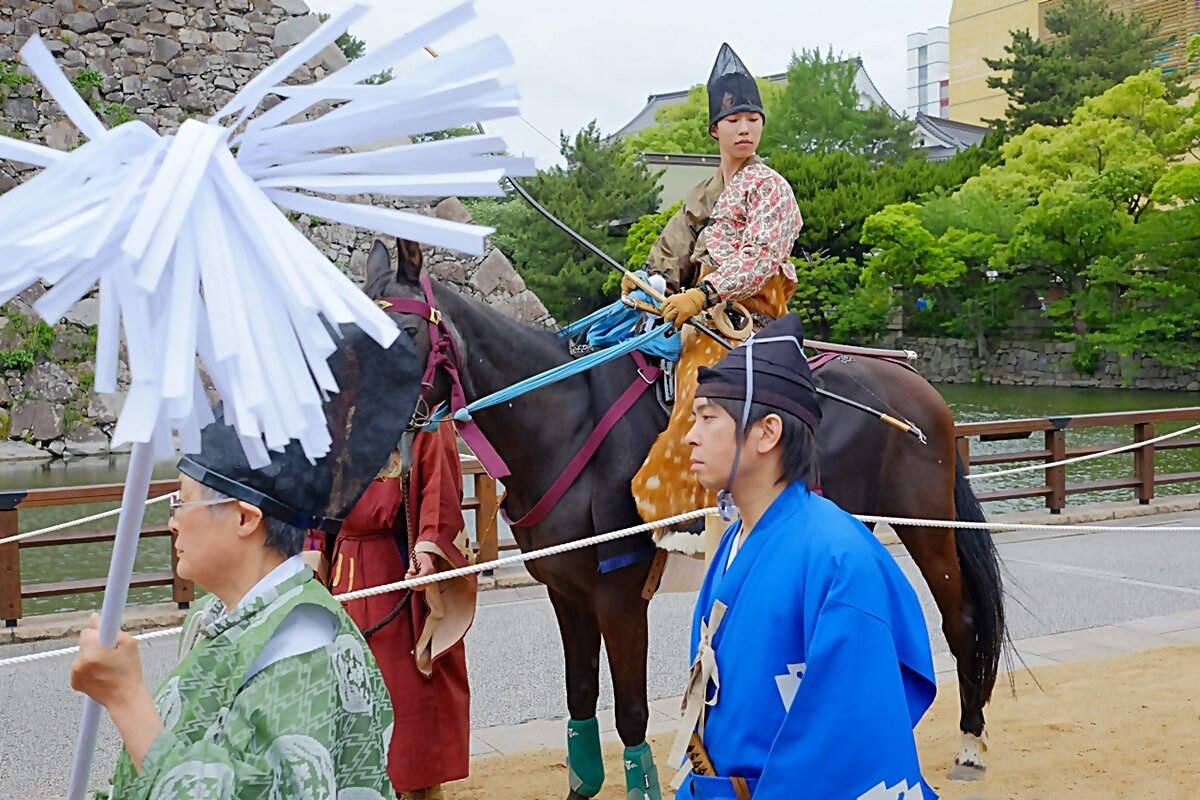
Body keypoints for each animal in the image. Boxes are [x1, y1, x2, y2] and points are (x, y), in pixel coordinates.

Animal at [369, 237, 1008, 796]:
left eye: (406, 333)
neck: (564, 423)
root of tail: (921, 388)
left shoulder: (619, 595)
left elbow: (630, 714)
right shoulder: (566, 591)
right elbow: (580, 699)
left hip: (925, 521)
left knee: (961, 621)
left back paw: (971, 745)